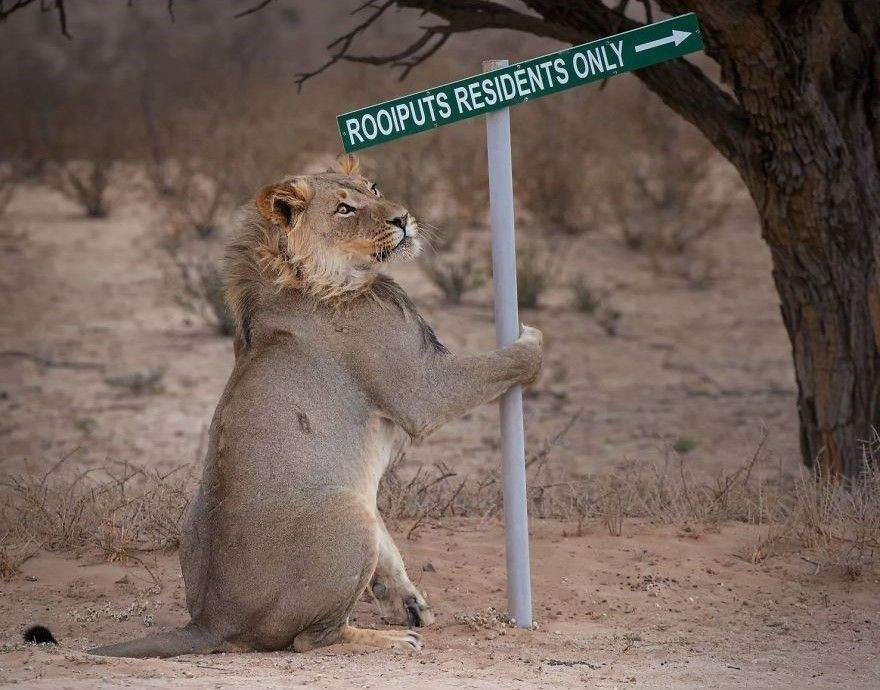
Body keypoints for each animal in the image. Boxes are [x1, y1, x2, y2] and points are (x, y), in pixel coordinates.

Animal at [89, 155, 544, 656]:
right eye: (345, 209)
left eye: (374, 188)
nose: (403, 218)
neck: (318, 277)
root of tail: (210, 621)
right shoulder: (423, 389)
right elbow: (505, 361)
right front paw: (532, 339)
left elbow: (390, 551)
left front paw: (408, 601)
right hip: (346, 514)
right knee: (314, 638)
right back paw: (391, 639)